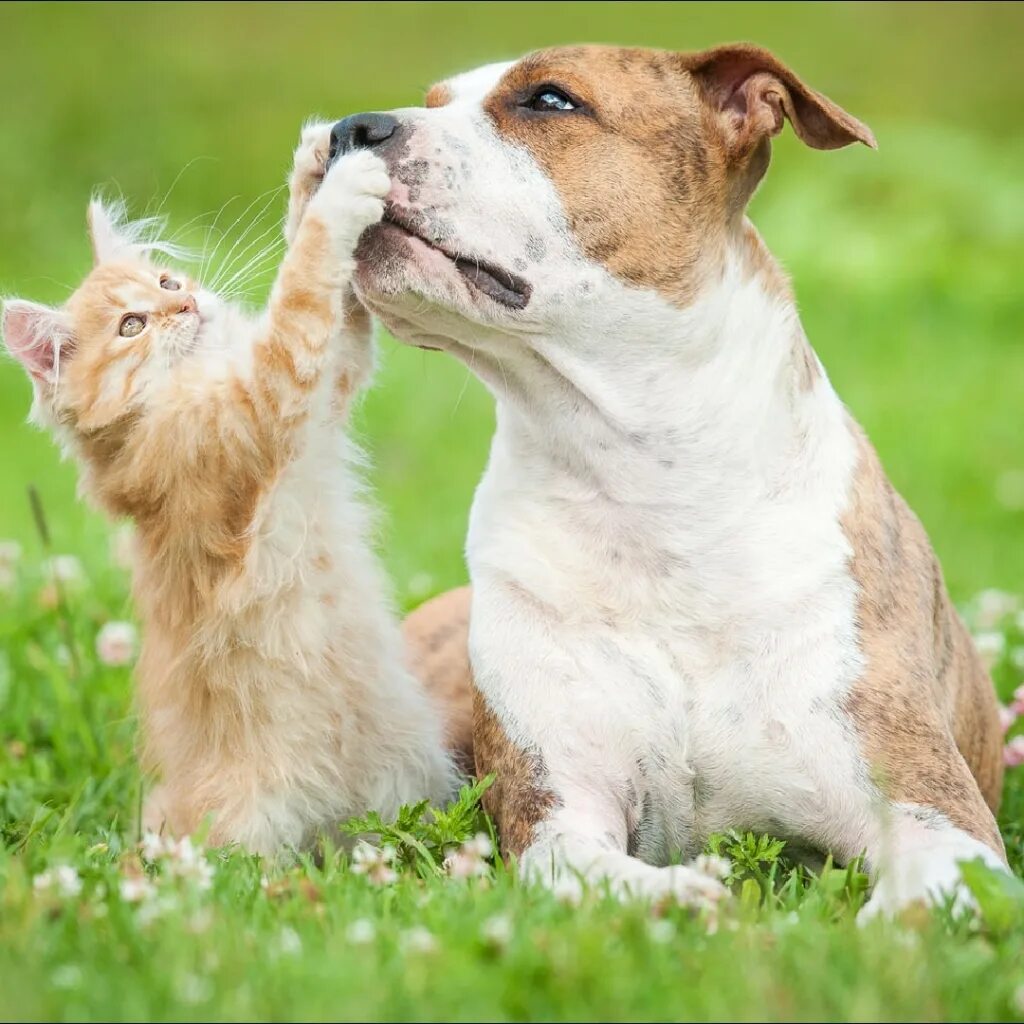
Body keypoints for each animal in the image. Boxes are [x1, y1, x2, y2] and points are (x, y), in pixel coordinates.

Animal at [1, 123, 460, 851]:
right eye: (133, 325)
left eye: (166, 281)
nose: (186, 302)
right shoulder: (257, 407)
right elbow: (301, 286)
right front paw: (342, 190)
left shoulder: (325, 387)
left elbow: (332, 308)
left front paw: (314, 166)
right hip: (247, 831)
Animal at [333, 44, 999, 917]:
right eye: (435, 101)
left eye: (551, 100)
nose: (348, 127)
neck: (646, 485)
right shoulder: (559, 810)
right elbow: (605, 875)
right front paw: (692, 896)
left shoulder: (939, 815)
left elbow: (924, 897)